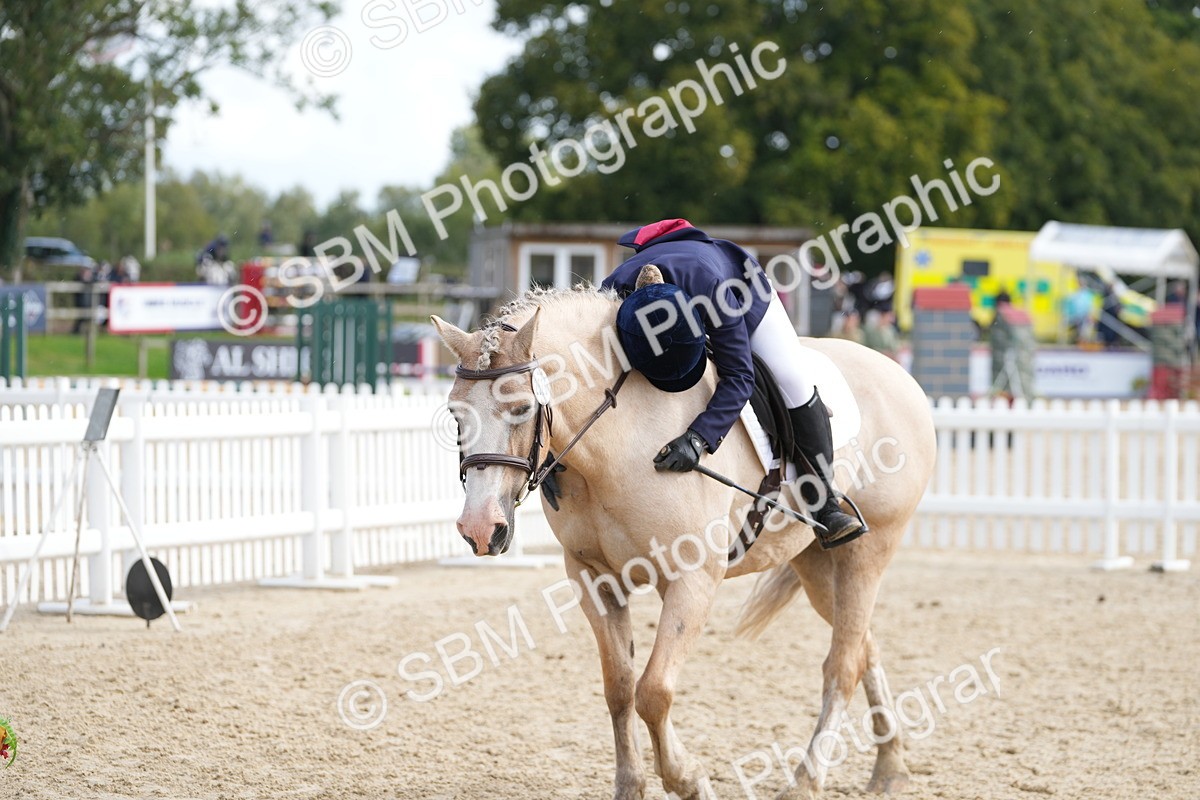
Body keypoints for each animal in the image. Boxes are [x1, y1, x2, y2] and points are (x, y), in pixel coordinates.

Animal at [432, 285, 936, 800]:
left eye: (522, 409)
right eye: (455, 414)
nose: (480, 528)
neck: (617, 443)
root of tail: (899, 374)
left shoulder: (692, 578)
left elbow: (653, 691)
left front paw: (689, 780)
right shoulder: (595, 579)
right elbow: (619, 687)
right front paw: (631, 786)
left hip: (867, 552)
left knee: (842, 665)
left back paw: (806, 780)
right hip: (814, 563)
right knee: (863, 647)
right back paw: (890, 765)